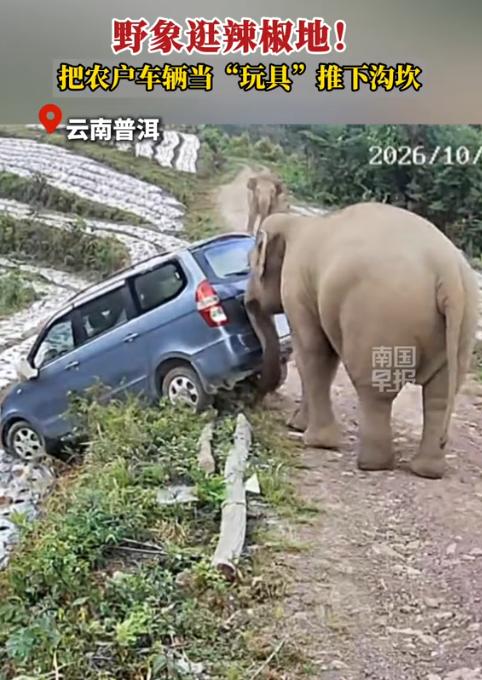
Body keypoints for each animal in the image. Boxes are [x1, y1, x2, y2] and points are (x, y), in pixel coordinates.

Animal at [244, 202, 480, 479]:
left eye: (249, 265)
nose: (256, 399)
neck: (296, 223)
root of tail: (447, 272)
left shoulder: (296, 287)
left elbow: (312, 354)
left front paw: (313, 439)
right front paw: (298, 425)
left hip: (378, 318)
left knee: (375, 391)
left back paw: (371, 464)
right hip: (462, 324)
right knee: (439, 394)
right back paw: (426, 470)